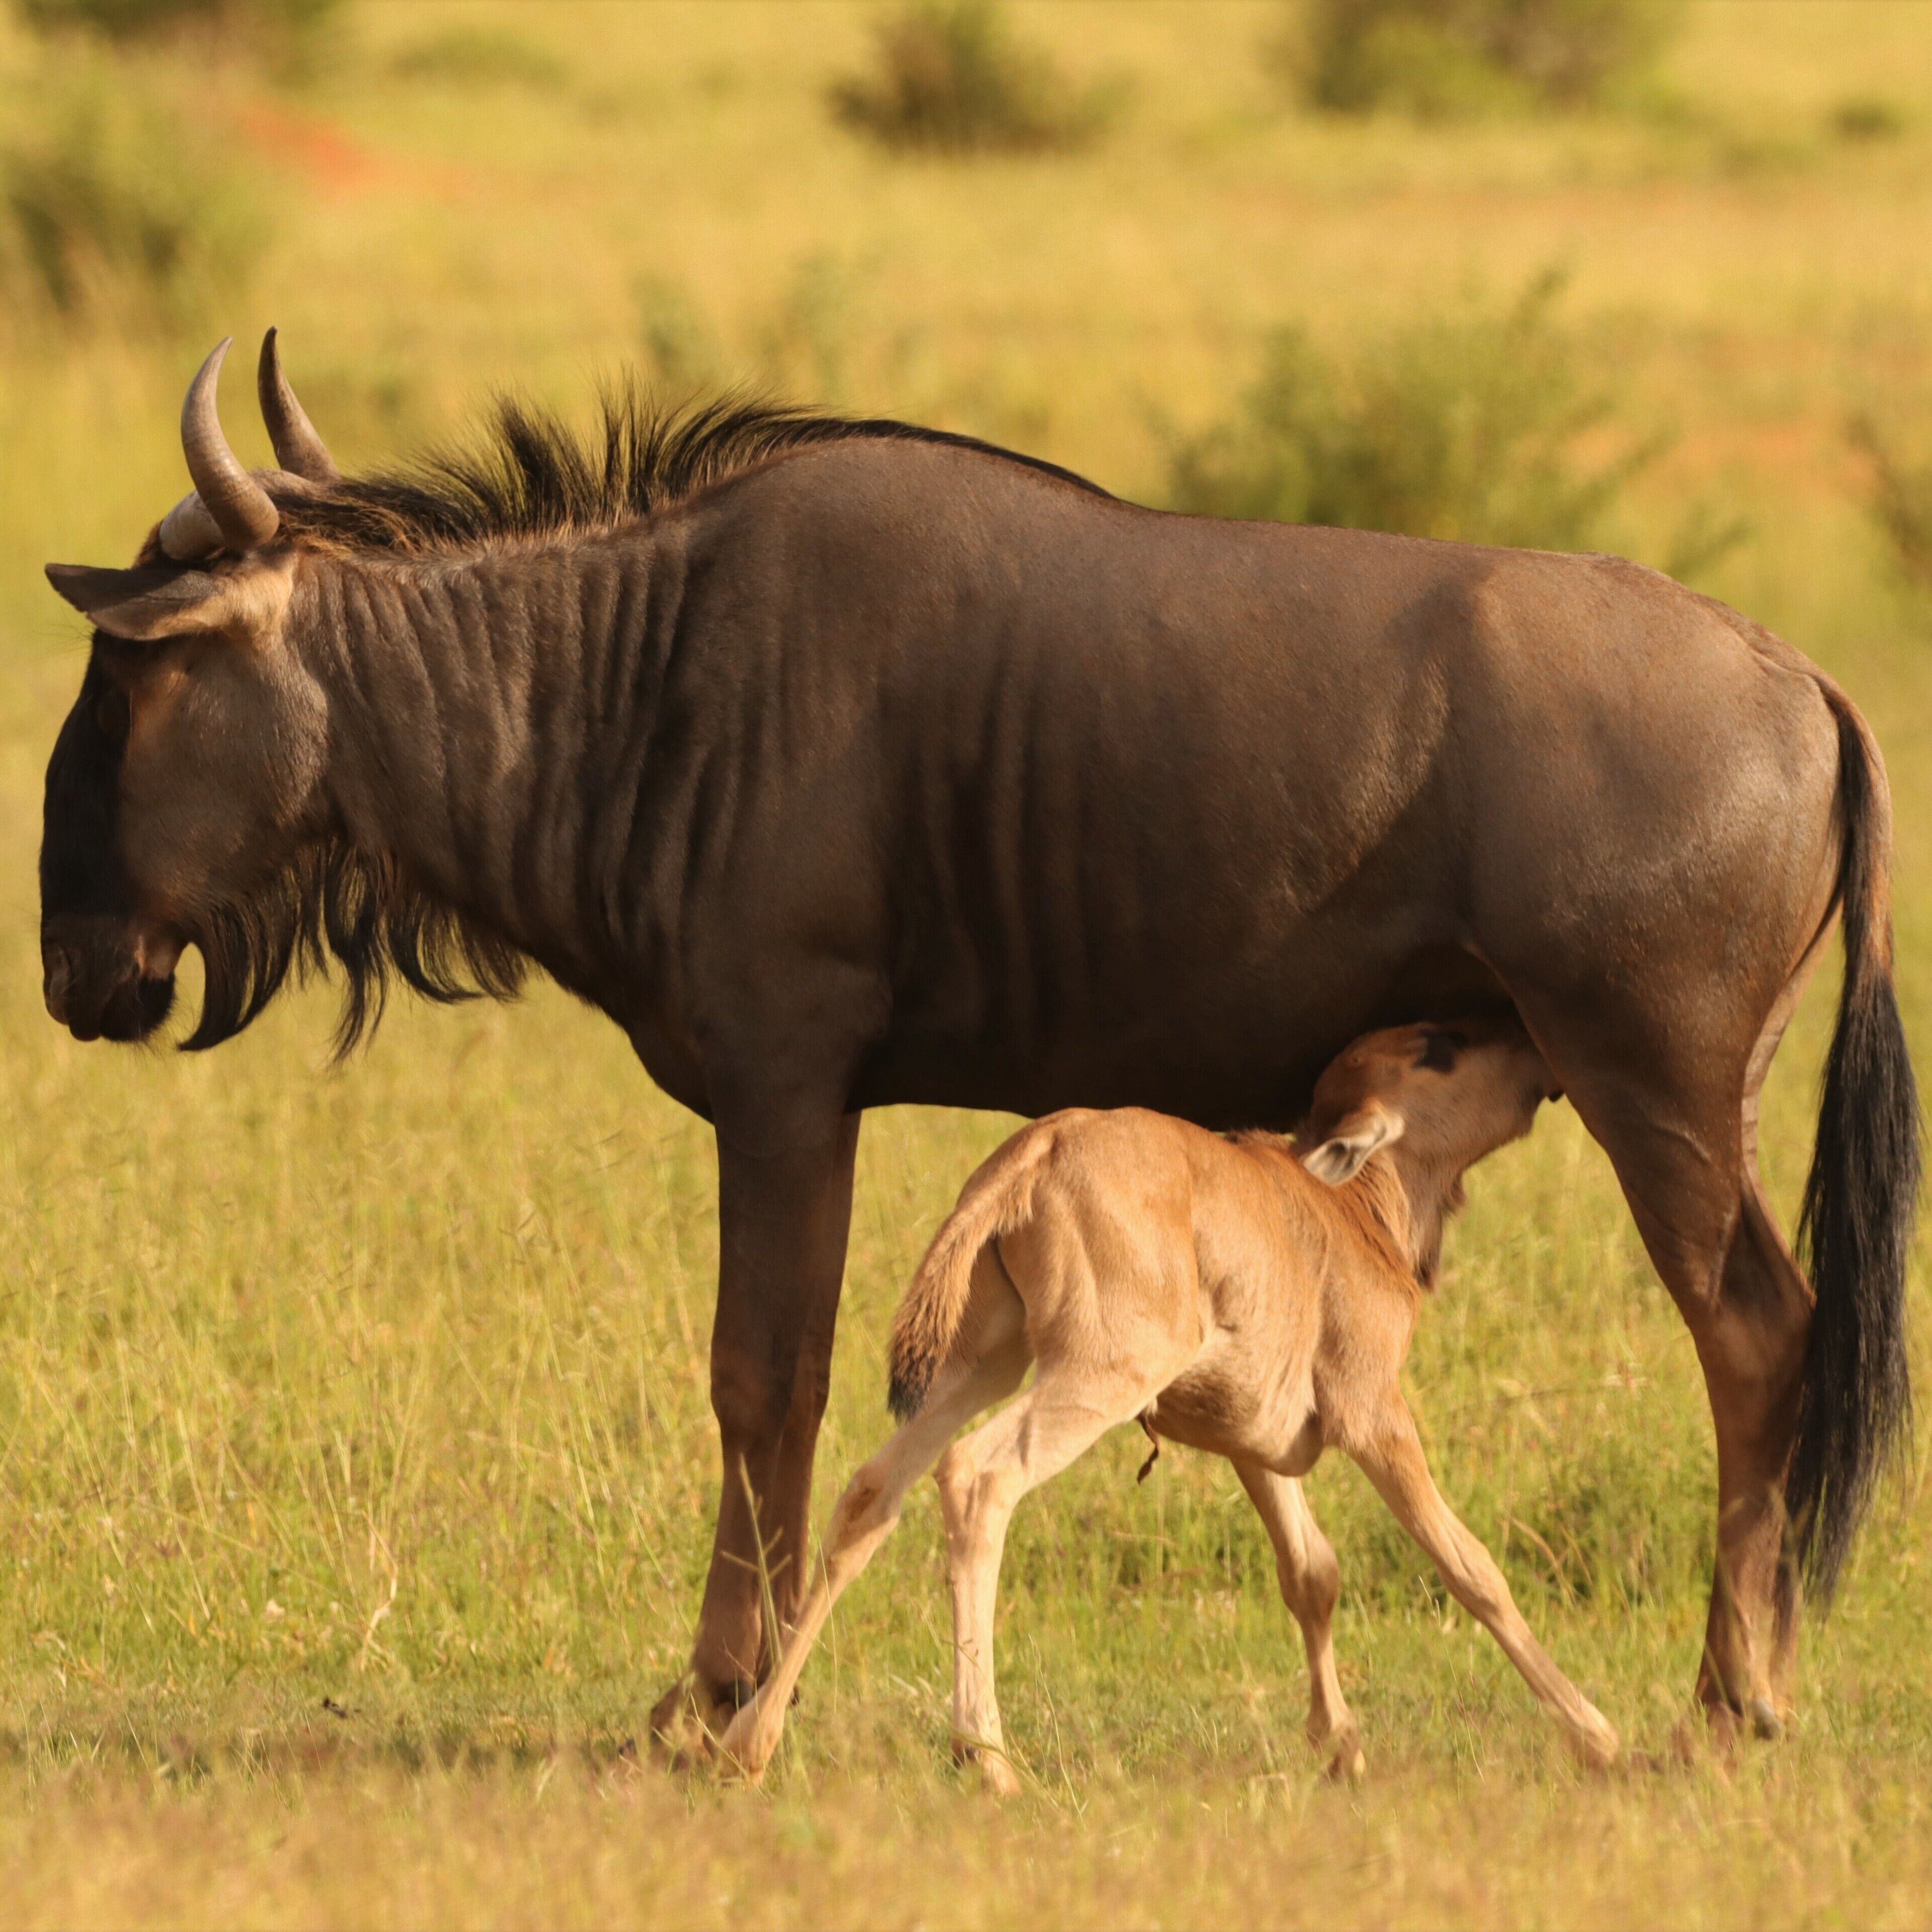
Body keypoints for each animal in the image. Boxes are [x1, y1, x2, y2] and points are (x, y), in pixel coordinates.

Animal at [720, 1018, 1619, 1786]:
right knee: (976, 1476)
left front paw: (1341, 1748)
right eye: (1440, 1046)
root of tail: (1037, 1149)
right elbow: (1472, 1569)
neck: (1353, 1206)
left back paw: (748, 1742)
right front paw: (1597, 1735)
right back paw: (988, 1760)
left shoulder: (1255, 1440)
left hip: (986, 1357)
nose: (1537, 1053)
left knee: (874, 1488)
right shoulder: (1375, 1416)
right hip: (1104, 1371)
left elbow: (1311, 1573)